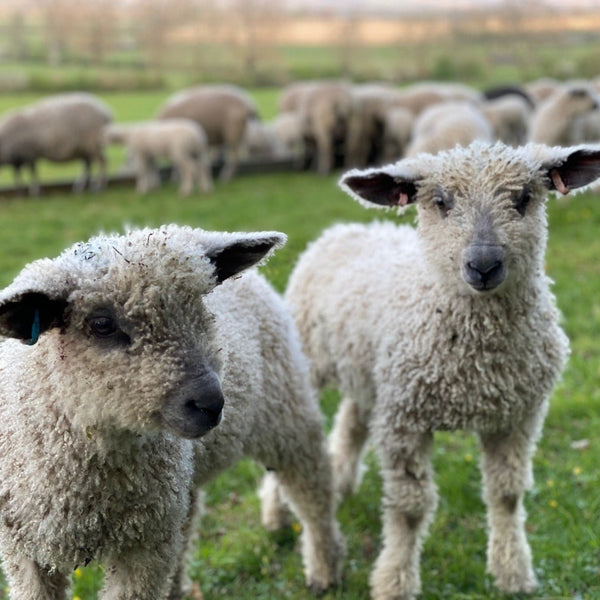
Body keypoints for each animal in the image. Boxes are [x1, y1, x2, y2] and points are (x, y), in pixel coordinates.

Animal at [0, 225, 342, 600]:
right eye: (102, 323)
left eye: (198, 304)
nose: (210, 403)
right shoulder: (24, 552)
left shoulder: (144, 547)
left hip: (286, 412)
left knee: (313, 491)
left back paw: (324, 570)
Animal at [282, 142, 600, 600]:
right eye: (440, 202)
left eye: (524, 197)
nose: (483, 265)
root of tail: (343, 228)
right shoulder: (404, 421)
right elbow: (410, 509)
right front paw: (395, 581)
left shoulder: (517, 417)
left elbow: (506, 495)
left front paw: (513, 572)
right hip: (310, 358)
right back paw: (278, 514)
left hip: (371, 373)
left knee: (351, 421)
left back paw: (340, 482)